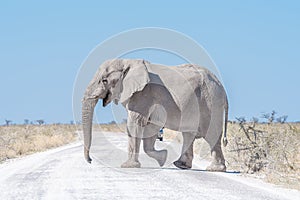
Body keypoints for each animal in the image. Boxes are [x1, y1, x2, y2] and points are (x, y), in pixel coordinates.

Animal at [81, 58, 229, 171]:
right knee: (188, 134)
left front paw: (128, 166)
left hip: (210, 102)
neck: (127, 62)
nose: (90, 160)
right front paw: (163, 158)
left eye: (104, 81)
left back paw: (214, 169)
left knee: (210, 134)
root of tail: (222, 86)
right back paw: (181, 165)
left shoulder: (143, 95)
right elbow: (150, 128)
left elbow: (134, 123)